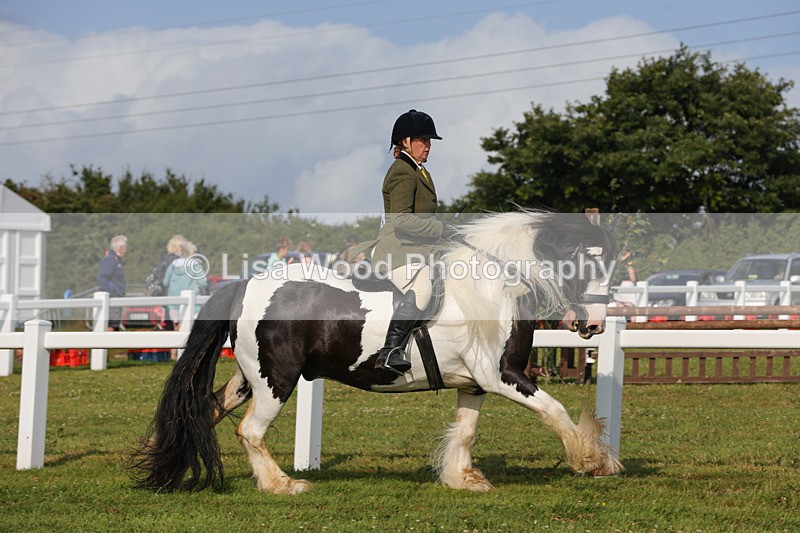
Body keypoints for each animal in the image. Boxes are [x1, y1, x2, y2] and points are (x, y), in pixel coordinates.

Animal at [131, 210, 623, 494]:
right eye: (585, 261)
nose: (595, 325)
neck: (497, 285)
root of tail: (244, 284)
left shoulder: (475, 384)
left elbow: (466, 432)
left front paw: (463, 478)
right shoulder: (500, 375)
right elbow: (554, 410)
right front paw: (593, 461)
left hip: (250, 378)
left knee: (208, 409)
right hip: (277, 380)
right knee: (249, 431)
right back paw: (283, 485)